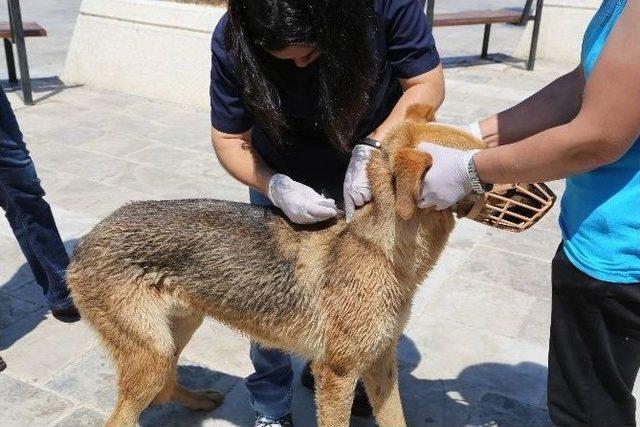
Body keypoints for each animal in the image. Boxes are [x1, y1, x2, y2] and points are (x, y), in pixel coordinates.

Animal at [66, 104, 484, 427]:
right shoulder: (337, 375)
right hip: (151, 357)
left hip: (175, 334)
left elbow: (396, 418)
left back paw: (197, 400)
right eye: (475, 160)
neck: (378, 249)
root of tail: (86, 239)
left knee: (165, 388)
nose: (496, 163)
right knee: (126, 414)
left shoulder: (380, 364)